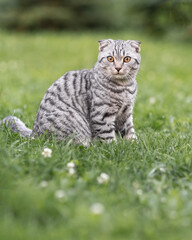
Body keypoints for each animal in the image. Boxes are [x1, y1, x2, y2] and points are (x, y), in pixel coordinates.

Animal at [1, 39, 141, 145]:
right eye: (110, 58)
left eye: (127, 59)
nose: (118, 68)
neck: (124, 87)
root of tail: (35, 135)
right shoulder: (101, 114)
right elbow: (107, 136)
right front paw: (113, 148)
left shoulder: (126, 112)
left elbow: (129, 132)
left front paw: (135, 146)